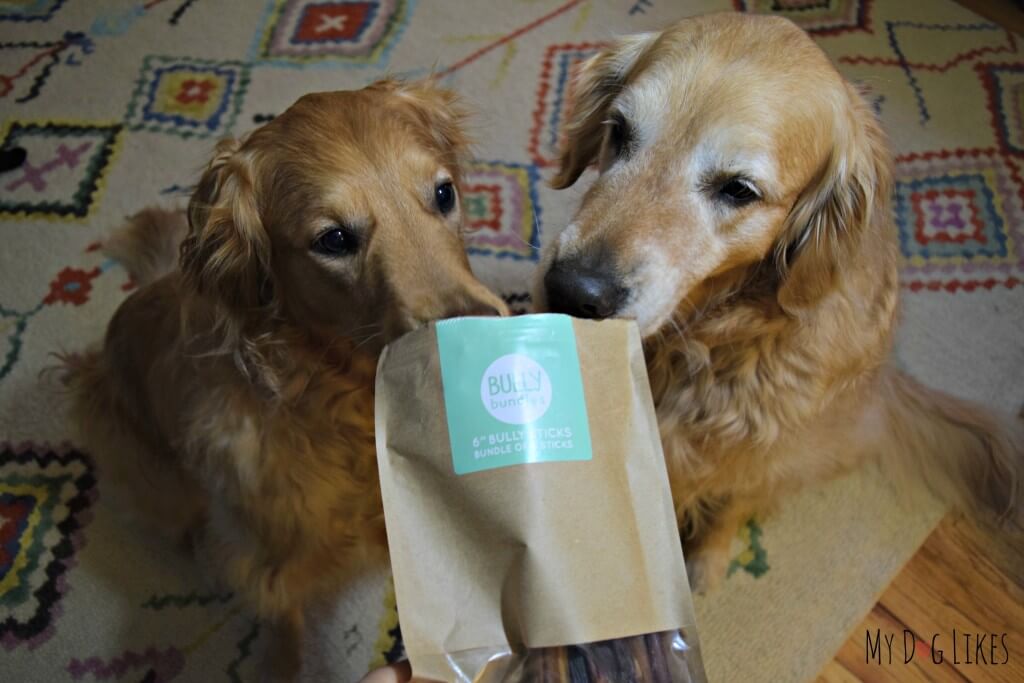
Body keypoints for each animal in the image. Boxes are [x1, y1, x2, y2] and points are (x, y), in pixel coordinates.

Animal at [536, 14, 1024, 593]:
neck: (712, 334)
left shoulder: (764, 456)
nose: (572, 290)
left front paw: (705, 562)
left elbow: (729, 506)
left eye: (738, 190)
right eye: (619, 131)